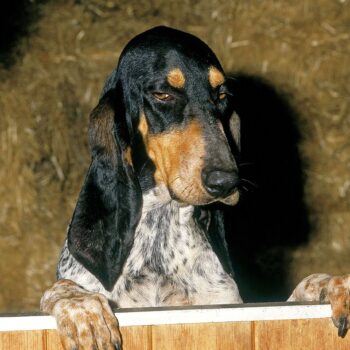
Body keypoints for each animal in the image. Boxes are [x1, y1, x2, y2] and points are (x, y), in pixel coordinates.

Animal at [39, 26, 350, 348]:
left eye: (222, 94)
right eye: (162, 94)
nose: (226, 181)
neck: (160, 227)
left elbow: (305, 285)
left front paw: (335, 284)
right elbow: (60, 288)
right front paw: (83, 309)